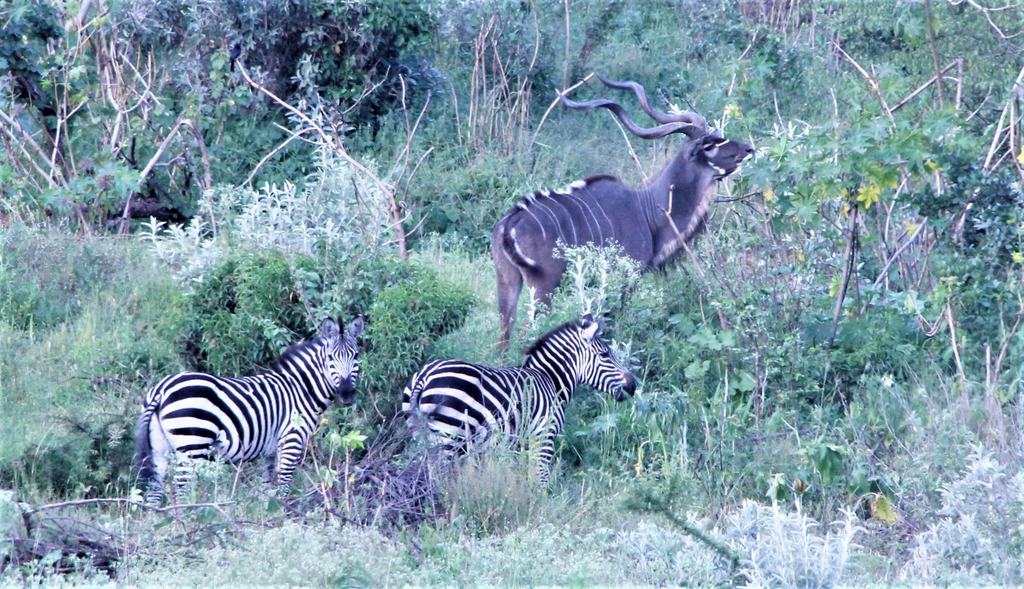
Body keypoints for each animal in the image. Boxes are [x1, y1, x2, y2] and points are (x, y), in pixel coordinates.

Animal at [134, 317, 364, 506]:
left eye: (355, 356)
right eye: (331, 358)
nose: (346, 394)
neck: (300, 390)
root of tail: (161, 388)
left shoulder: (269, 451)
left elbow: (268, 486)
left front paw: (268, 516)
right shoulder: (292, 439)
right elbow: (284, 485)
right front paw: (284, 517)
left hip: (159, 447)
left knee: (154, 492)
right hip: (193, 444)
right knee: (182, 490)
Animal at [402, 313, 635, 484]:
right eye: (605, 355)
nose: (633, 386)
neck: (551, 380)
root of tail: (424, 376)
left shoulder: (520, 443)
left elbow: (522, 474)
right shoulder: (544, 436)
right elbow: (540, 478)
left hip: (422, 435)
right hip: (448, 436)